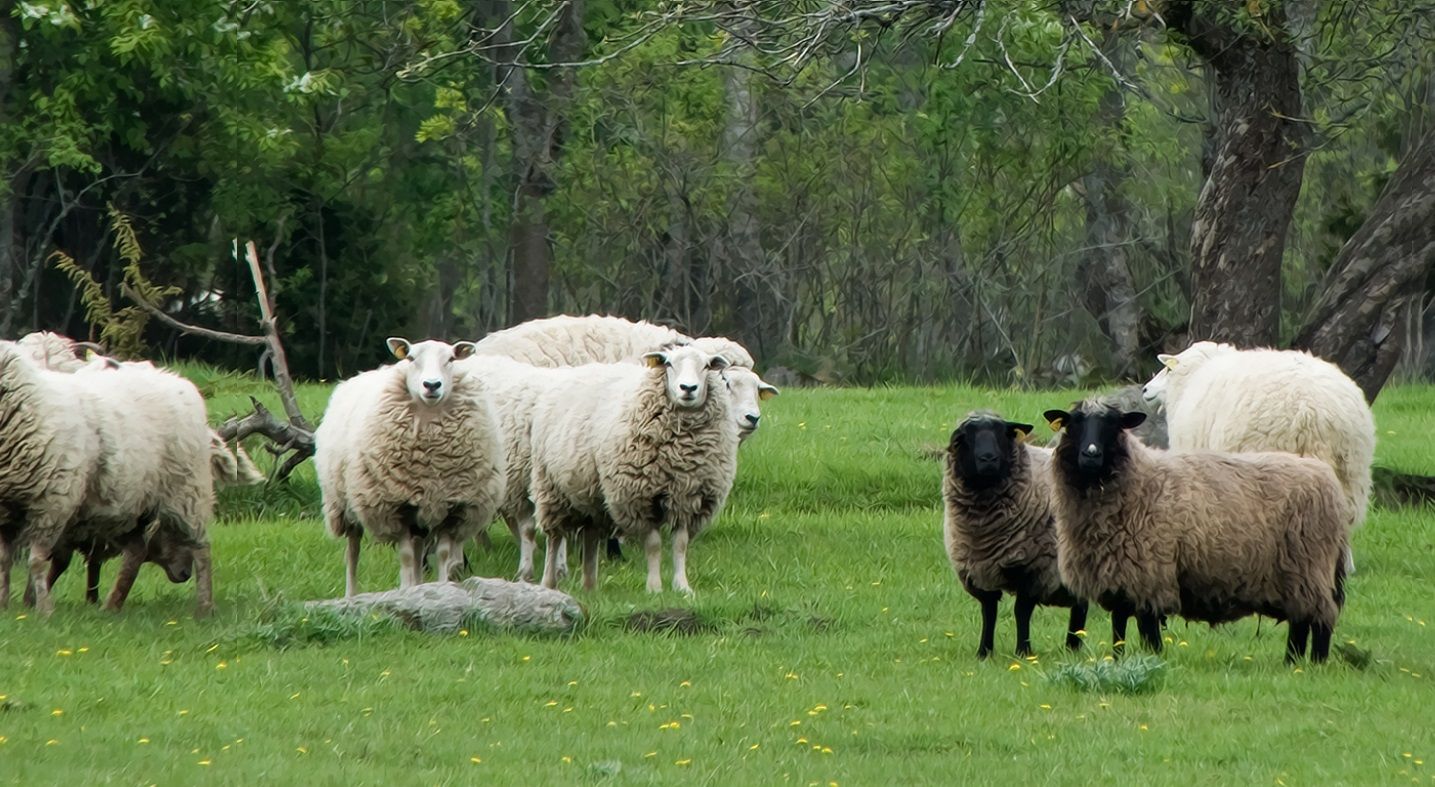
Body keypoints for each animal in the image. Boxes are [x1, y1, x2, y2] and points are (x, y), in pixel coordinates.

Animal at [317, 337, 507, 597]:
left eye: (451, 359)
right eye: (410, 358)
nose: (432, 385)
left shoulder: (452, 509)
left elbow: (443, 555)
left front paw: (441, 588)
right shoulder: (397, 507)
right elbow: (406, 556)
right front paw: (406, 589)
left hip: (421, 516)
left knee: (419, 551)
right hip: (343, 504)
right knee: (353, 552)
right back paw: (351, 594)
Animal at [533, 344, 746, 591]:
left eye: (706, 366)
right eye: (669, 364)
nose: (688, 388)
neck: (680, 453)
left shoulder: (688, 497)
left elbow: (680, 544)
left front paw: (682, 586)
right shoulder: (640, 498)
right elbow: (653, 544)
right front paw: (654, 587)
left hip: (591, 493)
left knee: (591, 534)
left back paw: (589, 585)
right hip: (551, 487)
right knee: (554, 538)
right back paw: (548, 582)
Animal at [1044, 399, 1343, 663]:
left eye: (1113, 424)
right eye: (1074, 423)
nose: (1091, 454)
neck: (1138, 480)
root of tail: (1327, 479)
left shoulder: (1149, 576)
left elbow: (1148, 631)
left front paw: (1153, 659)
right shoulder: (1122, 577)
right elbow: (1118, 628)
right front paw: (1118, 661)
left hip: (1310, 567)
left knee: (1321, 619)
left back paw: (1316, 663)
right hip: (1296, 575)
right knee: (1300, 621)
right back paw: (1292, 663)